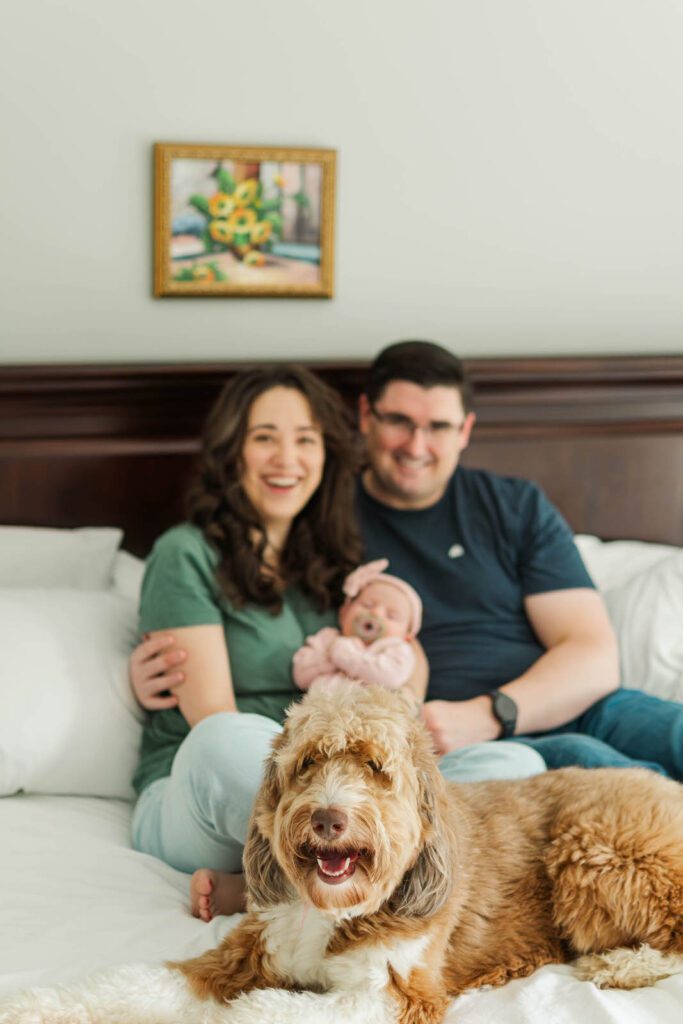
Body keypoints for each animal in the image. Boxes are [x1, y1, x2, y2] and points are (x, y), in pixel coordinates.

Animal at [172, 679, 683, 1024]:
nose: (327, 818)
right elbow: (166, 978)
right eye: (309, 761)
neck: (337, 909)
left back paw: (621, 965)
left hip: (599, 858)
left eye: (375, 767)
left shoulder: (392, 994)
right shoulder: (251, 950)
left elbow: (260, 1008)